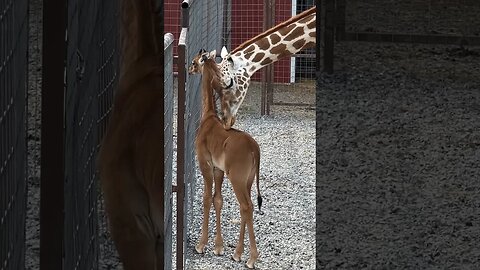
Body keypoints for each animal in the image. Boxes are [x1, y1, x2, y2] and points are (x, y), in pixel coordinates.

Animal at [193, 49, 264, 268]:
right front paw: (219, 247)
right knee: (247, 207)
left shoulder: (205, 164)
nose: (189, 69)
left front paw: (201, 245)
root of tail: (255, 149)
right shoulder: (219, 169)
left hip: (238, 178)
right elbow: (218, 199)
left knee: (246, 206)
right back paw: (238, 254)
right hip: (248, 180)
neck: (208, 118)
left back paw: (251, 258)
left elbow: (207, 198)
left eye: (194, 62)